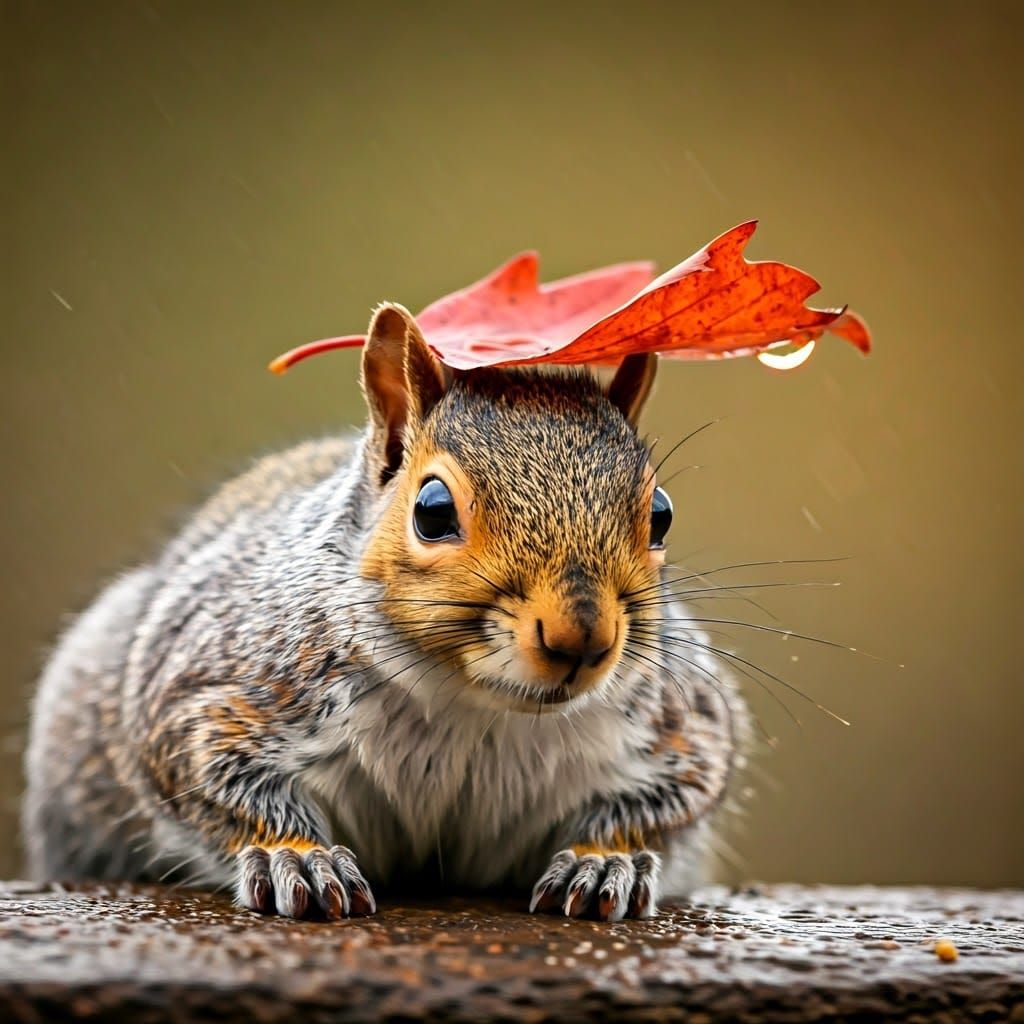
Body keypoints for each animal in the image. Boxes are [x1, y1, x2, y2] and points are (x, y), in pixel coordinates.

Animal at [23, 302, 743, 921]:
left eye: (660, 516)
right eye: (431, 511)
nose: (581, 638)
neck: (470, 704)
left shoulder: (686, 726)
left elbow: (669, 800)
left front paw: (602, 862)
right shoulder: (215, 689)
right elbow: (211, 775)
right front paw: (298, 859)